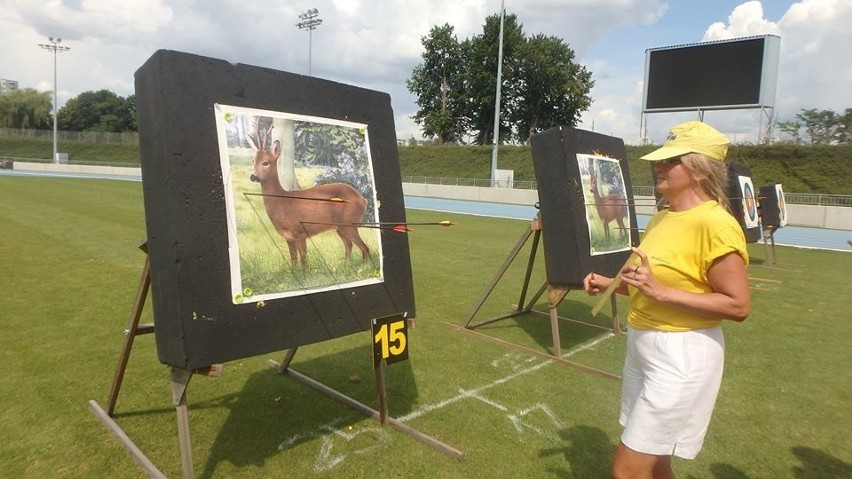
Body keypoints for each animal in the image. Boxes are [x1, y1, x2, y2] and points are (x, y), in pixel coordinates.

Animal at [245, 122, 368, 268]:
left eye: (266, 162)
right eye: (253, 161)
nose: (253, 176)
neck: (282, 203)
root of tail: (362, 199)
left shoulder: (300, 232)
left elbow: (304, 263)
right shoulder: (289, 238)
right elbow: (294, 262)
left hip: (349, 223)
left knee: (364, 247)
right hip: (340, 227)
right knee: (349, 245)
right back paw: (344, 267)